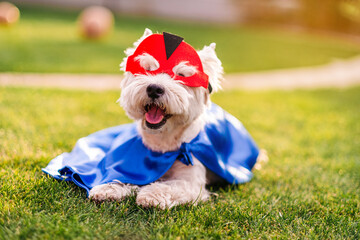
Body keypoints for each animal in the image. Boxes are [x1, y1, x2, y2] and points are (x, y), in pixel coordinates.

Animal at [86, 28, 268, 208]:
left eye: (181, 75)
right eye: (147, 69)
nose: (154, 89)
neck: (163, 143)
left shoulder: (191, 180)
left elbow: (169, 186)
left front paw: (150, 195)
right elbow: (123, 177)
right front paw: (107, 189)